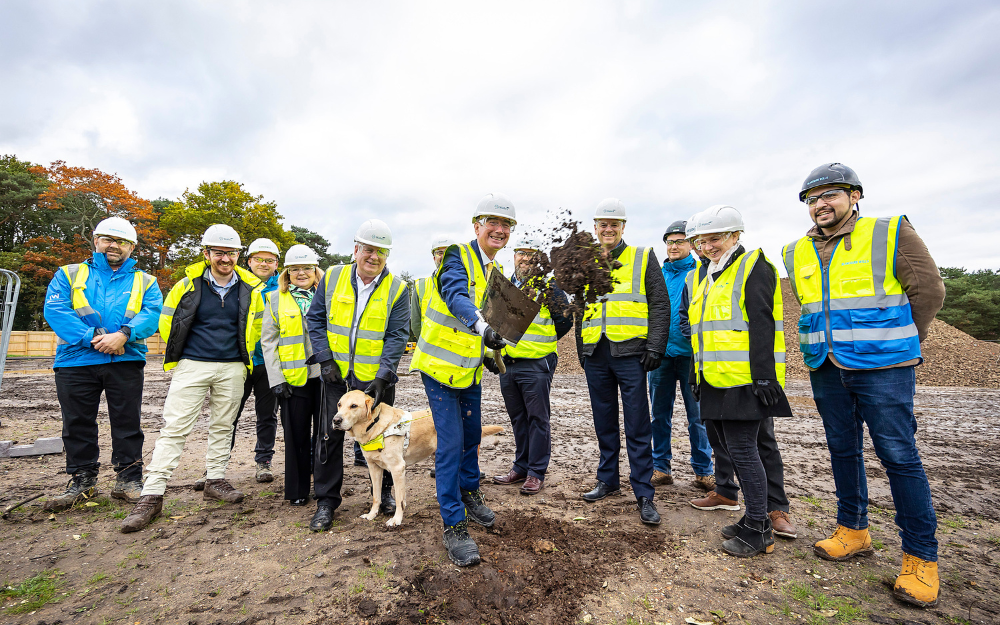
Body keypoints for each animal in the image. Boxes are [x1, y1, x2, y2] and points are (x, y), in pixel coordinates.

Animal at [336, 390, 504, 528]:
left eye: (353, 406)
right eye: (339, 404)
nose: (336, 420)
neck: (375, 426)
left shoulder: (397, 468)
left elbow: (399, 499)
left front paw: (396, 519)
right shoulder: (374, 468)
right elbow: (377, 496)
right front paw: (371, 515)